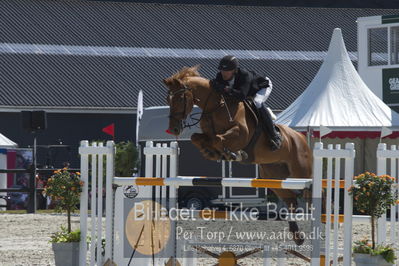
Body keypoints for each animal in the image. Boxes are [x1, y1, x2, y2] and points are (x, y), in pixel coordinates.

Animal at [164, 65, 314, 244]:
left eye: (180, 99)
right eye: (168, 100)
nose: (173, 129)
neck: (216, 105)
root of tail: (301, 137)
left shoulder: (240, 134)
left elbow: (218, 139)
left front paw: (233, 154)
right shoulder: (207, 134)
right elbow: (197, 138)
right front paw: (212, 152)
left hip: (301, 172)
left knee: (310, 195)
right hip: (274, 176)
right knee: (291, 200)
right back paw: (297, 236)